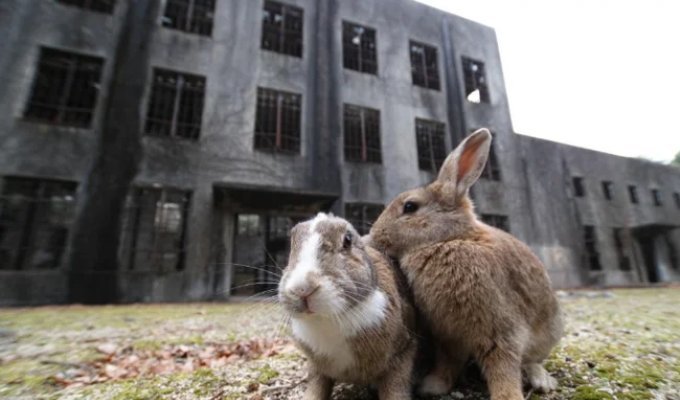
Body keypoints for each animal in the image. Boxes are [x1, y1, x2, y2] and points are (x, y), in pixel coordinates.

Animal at [278, 214, 418, 398]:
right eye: (292, 243)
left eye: (347, 240)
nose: (302, 289)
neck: (329, 319)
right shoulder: (317, 367)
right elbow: (316, 387)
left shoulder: (404, 351)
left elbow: (395, 389)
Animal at [366, 129, 564, 400]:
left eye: (410, 206)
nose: (374, 236)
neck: (448, 239)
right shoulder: (448, 335)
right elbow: (448, 362)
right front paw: (432, 386)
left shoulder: (500, 331)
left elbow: (503, 368)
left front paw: (507, 396)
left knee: (532, 360)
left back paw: (542, 381)